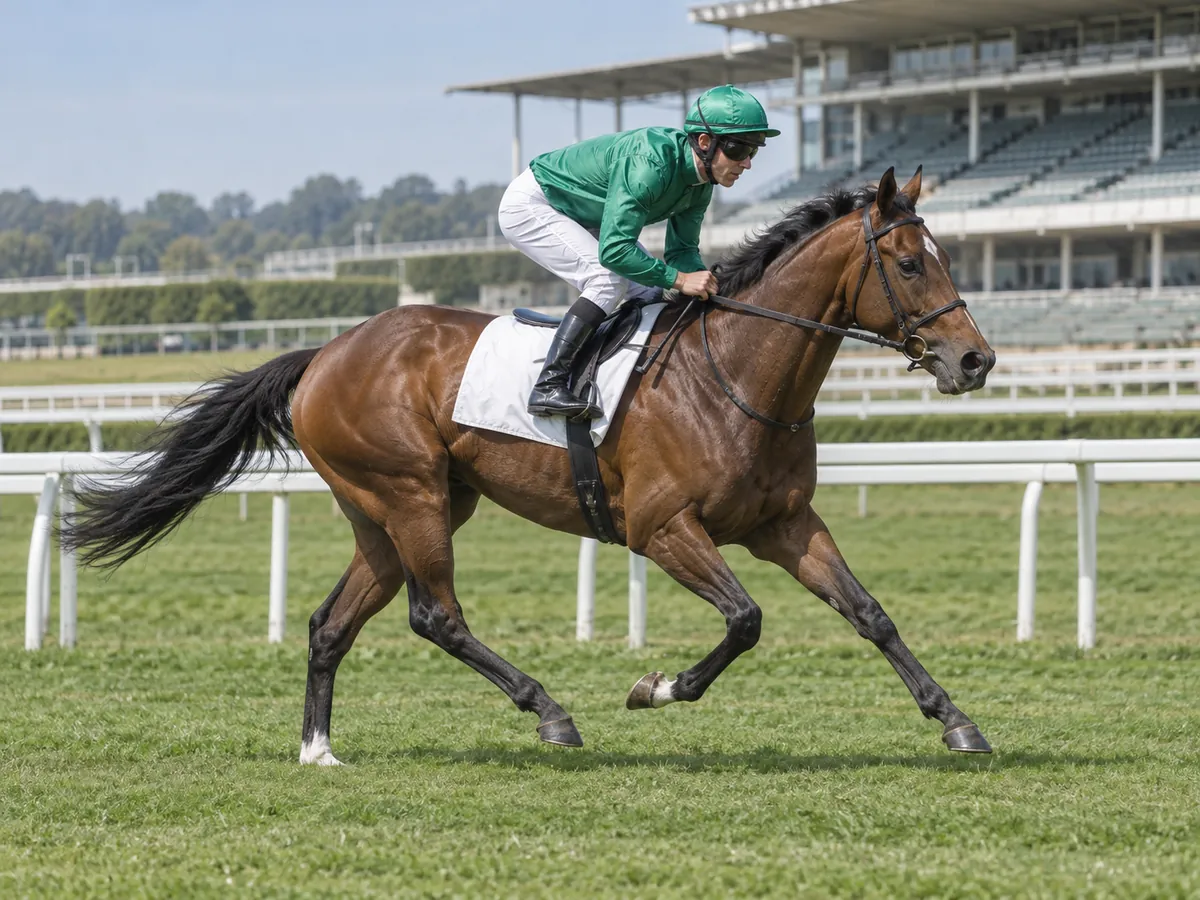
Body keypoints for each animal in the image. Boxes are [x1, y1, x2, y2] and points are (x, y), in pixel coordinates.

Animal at [63, 167, 997, 765]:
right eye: (909, 263)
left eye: (950, 258)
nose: (975, 360)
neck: (731, 370)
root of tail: (326, 352)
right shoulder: (662, 529)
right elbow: (745, 620)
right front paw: (655, 687)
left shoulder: (786, 523)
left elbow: (871, 615)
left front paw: (957, 723)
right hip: (411, 495)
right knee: (435, 616)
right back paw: (550, 714)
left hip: (391, 511)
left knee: (333, 623)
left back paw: (319, 749)